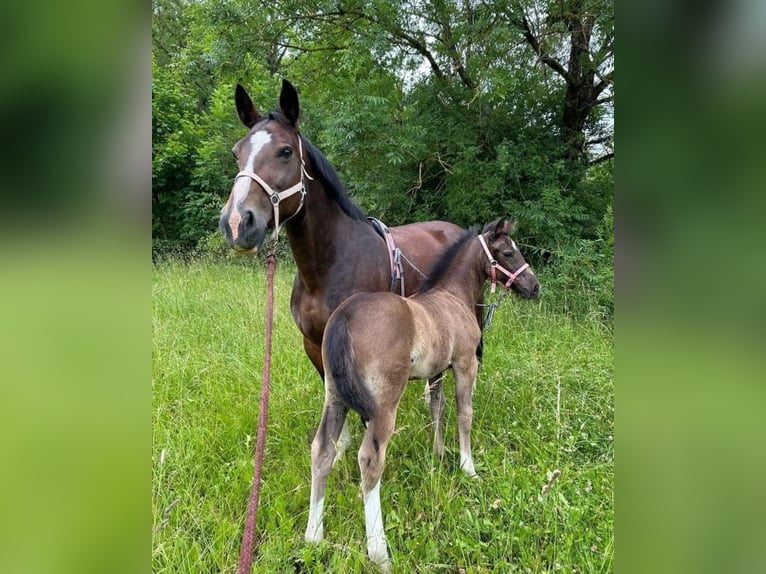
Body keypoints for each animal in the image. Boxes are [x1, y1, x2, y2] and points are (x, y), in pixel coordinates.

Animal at [219, 79, 479, 458]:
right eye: (237, 153)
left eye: (285, 151)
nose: (237, 223)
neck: (326, 269)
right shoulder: (315, 344)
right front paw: (339, 447)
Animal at [305, 217, 540, 571]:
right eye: (509, 252)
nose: (534, 286)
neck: (453, 296)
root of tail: (345, 316)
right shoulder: (465, 364)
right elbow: (464, 413)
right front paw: (468, 467)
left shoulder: (437, 370)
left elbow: (436, 408)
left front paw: (438, 453)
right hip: (384, 404)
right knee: (370, 459)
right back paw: (379, 552)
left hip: (334, 396)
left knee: (322, 450)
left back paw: (313, 537)